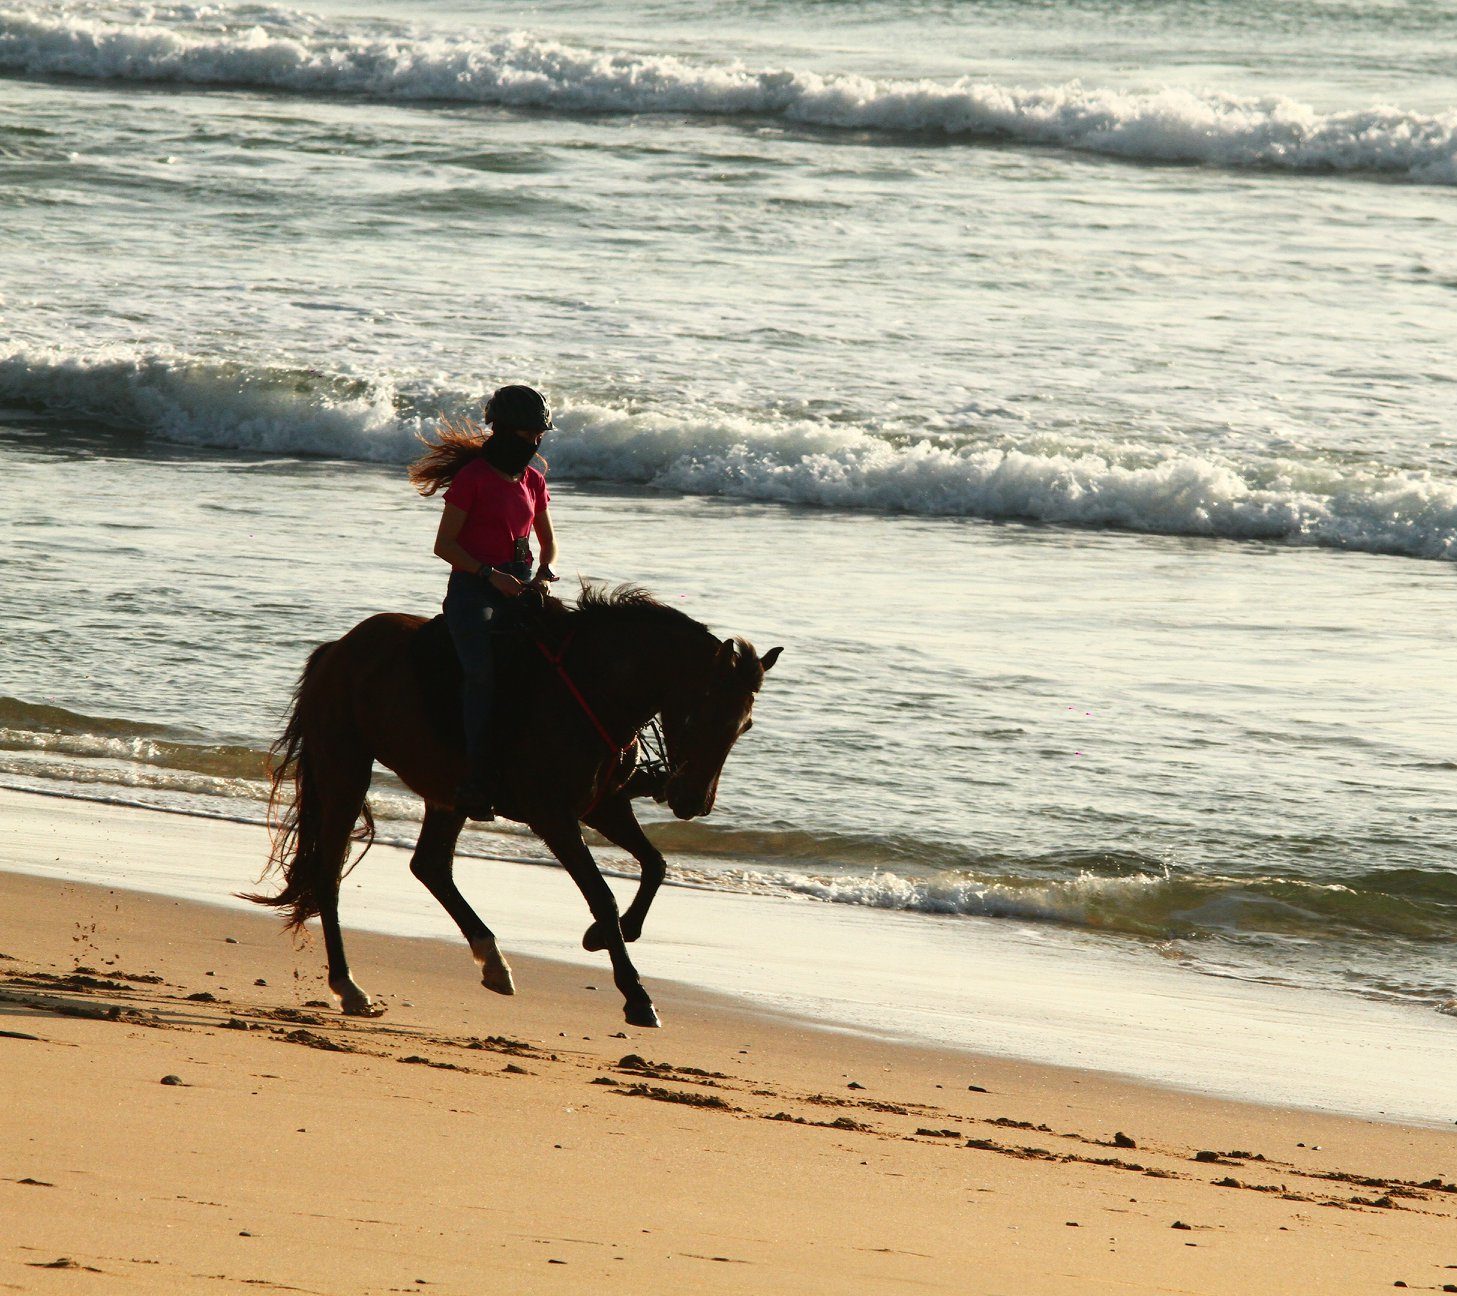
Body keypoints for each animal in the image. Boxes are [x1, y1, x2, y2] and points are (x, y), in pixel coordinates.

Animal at [244, 580, 780, 1026]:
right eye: (703, 712)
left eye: (745, 725)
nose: (692, 802)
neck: (595, 688)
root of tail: (337, 650)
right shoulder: (554, 816)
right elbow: (602, 894)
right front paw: (636, 995)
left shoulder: (601, 806)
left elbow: (655, 865)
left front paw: (608, 935)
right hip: (346, 770)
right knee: (331, 873)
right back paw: (349, 986)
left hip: (447, 792)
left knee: (430, 866)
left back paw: (493, 961)